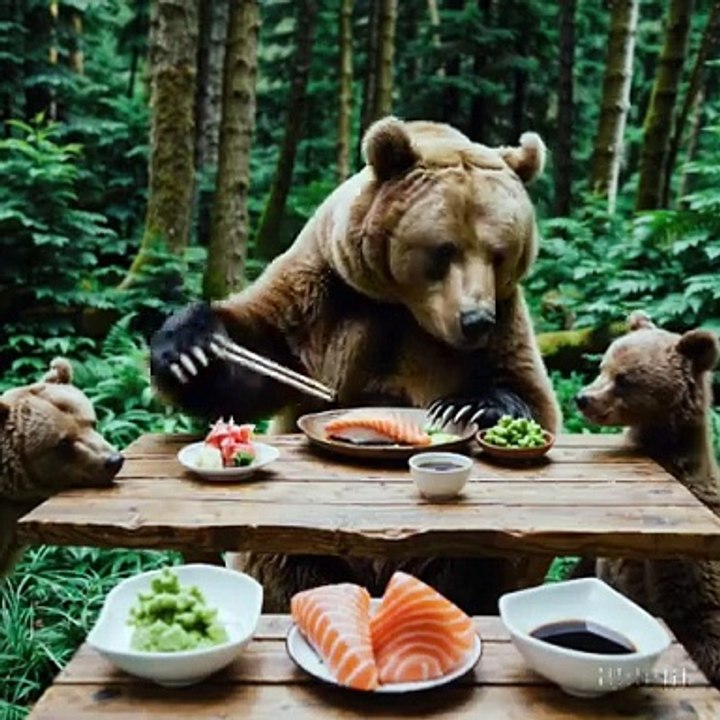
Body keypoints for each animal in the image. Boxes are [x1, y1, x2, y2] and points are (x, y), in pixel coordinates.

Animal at [150, 117, 561, 612]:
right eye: (444, 251)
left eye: (499, 253)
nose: (475, 319)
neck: (404, 306)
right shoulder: (328, 289)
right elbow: (262, 352)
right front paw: (189, 347)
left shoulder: (504, 317)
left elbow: (530, 393)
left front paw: (470, 406)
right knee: (286, 561)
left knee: (475, 565)